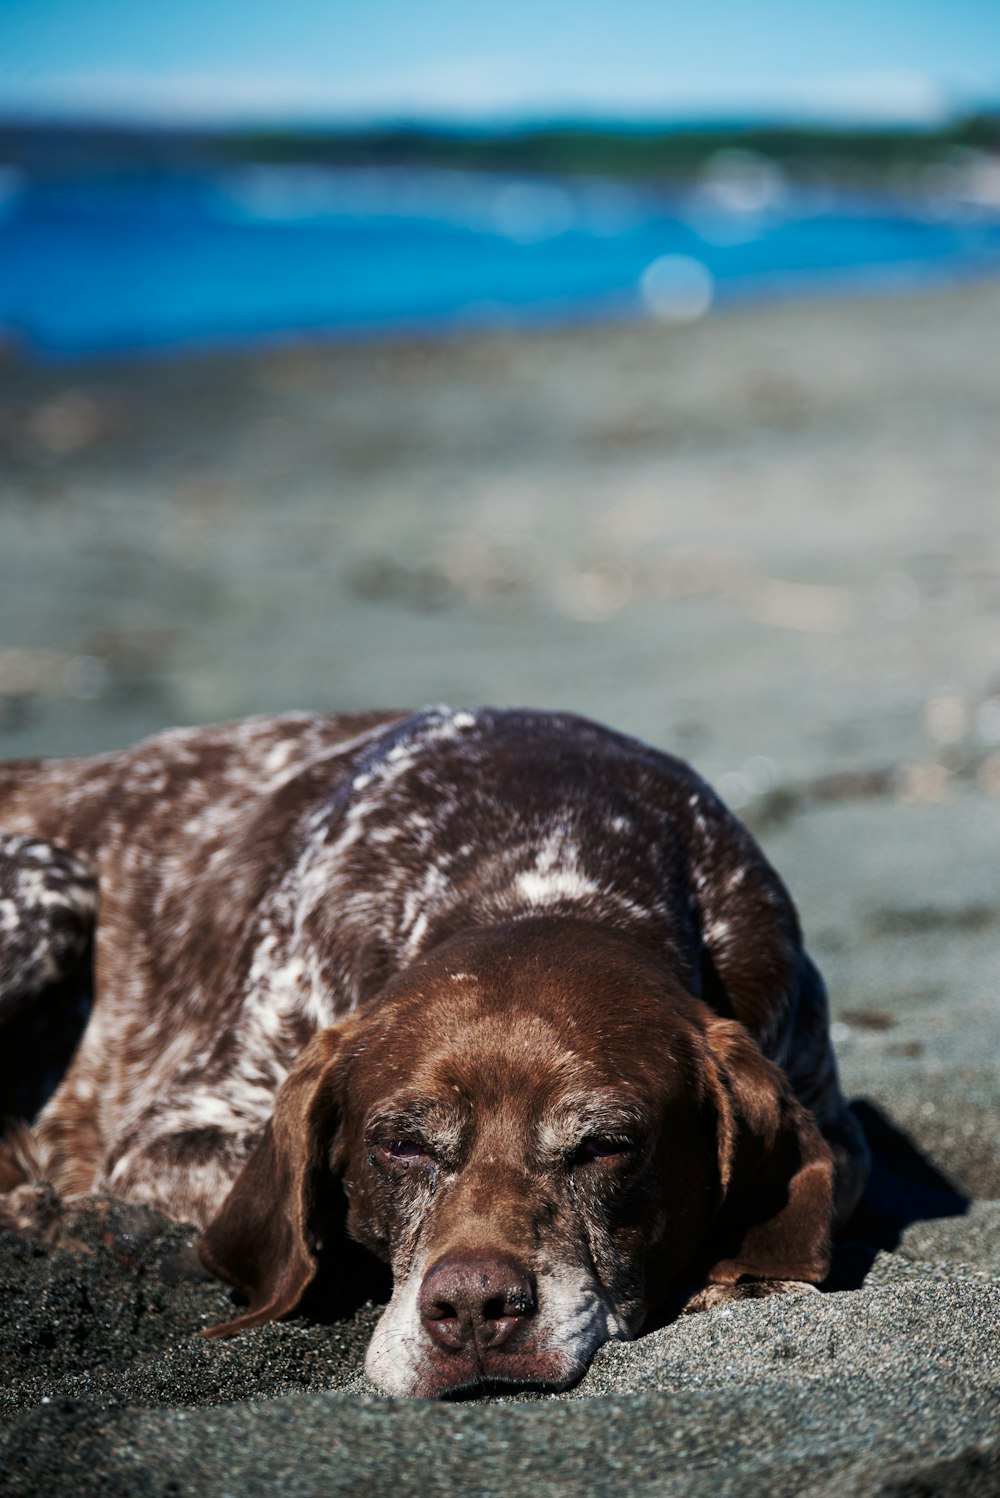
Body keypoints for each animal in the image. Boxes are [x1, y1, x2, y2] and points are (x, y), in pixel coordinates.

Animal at [0, 707, 868, 1396]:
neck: (547, 869)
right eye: (401, 1147)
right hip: (45, 885)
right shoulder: (172, 1133)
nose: (475, 1307)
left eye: (607, 1147)